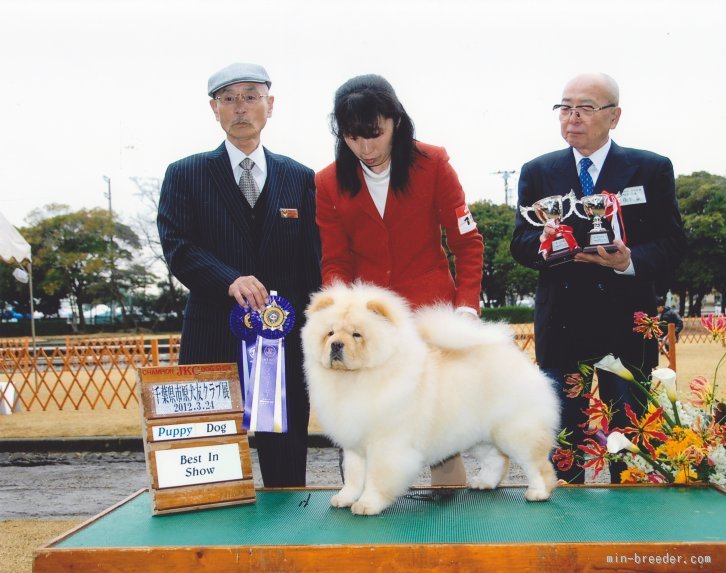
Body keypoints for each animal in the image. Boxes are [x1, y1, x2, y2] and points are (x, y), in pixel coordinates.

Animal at [298, 282, 560, 512]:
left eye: (356, 335)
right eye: (329, 333)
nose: (336, 345)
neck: (355, 379)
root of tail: (516, 357)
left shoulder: (385, 445)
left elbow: (375, 478)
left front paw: (367, 505)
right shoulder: (354, 444)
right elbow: (353, 476)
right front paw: (345, 498)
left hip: (514, 430)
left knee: (537, 464)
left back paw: (538, 492)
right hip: (477, 435)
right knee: (497, 459)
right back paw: (483, 483)